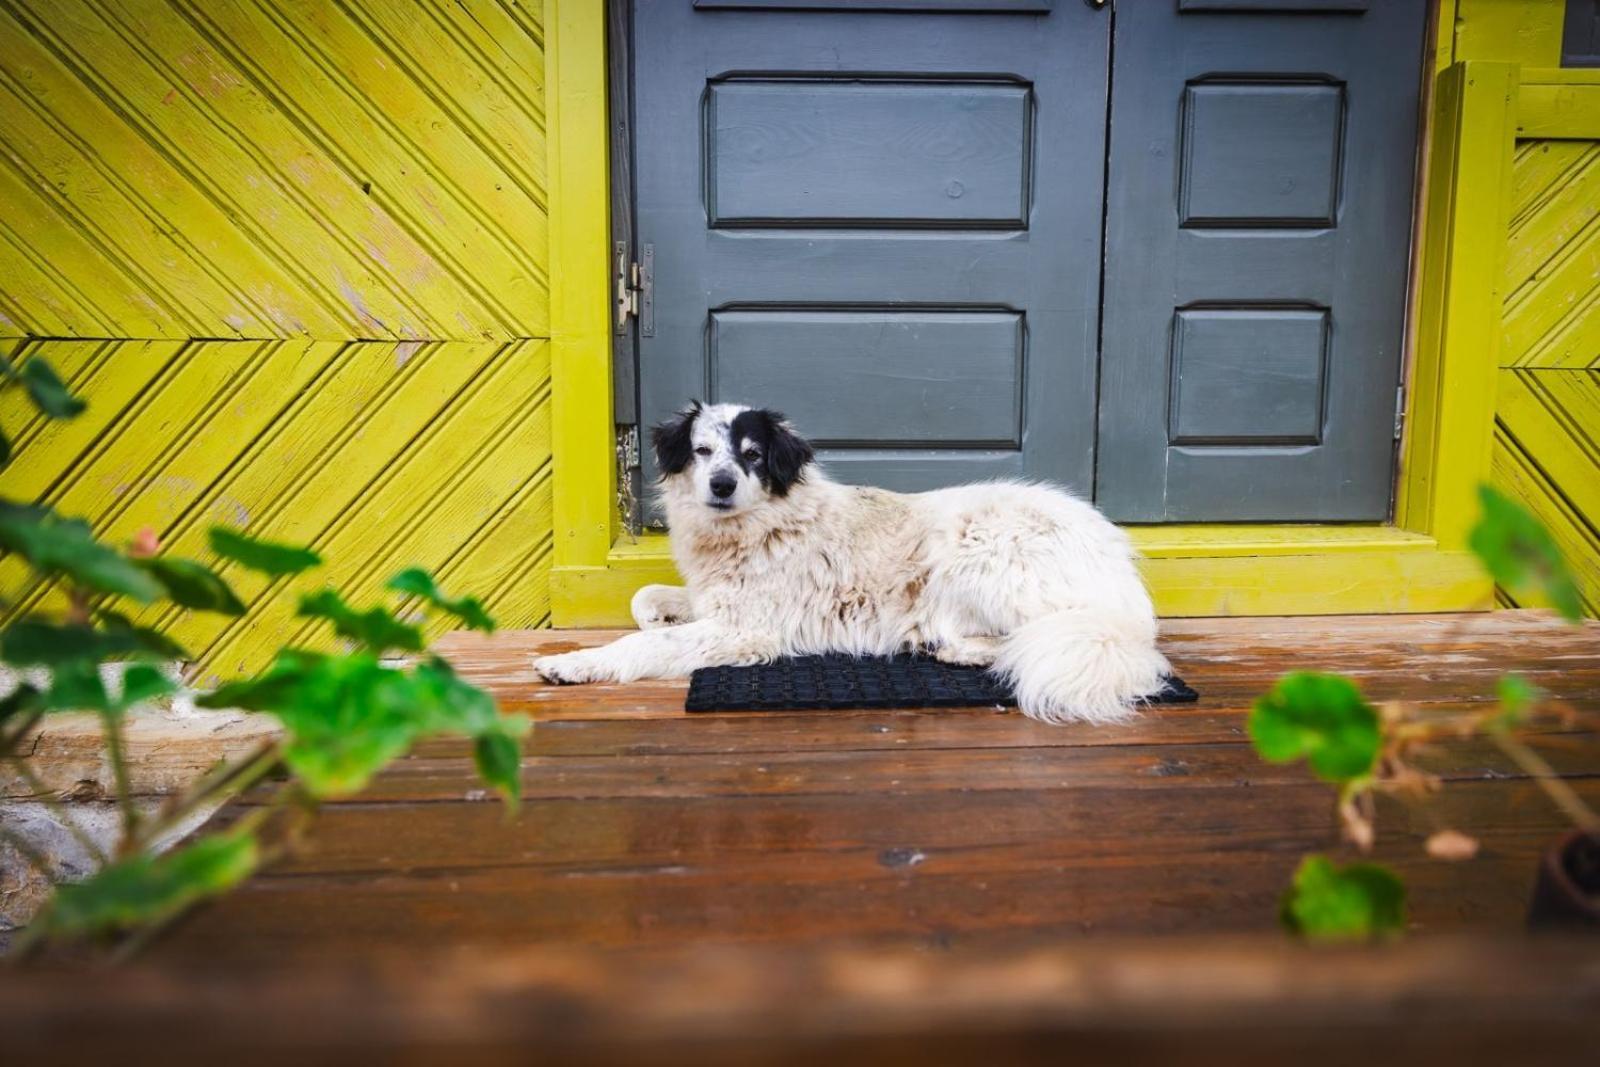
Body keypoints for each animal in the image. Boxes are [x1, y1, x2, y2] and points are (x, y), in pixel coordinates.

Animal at [531, 403, 1171, 726]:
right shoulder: (717, 599)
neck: (760, 526)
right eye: (702, 451)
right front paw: (659, 614)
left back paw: (952, 648)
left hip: (970, 548)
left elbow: (644, 644)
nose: (720, 485)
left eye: (753, 455)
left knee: (1026, 636)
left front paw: (575, 663)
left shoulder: (746, 629)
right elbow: (644, 601)